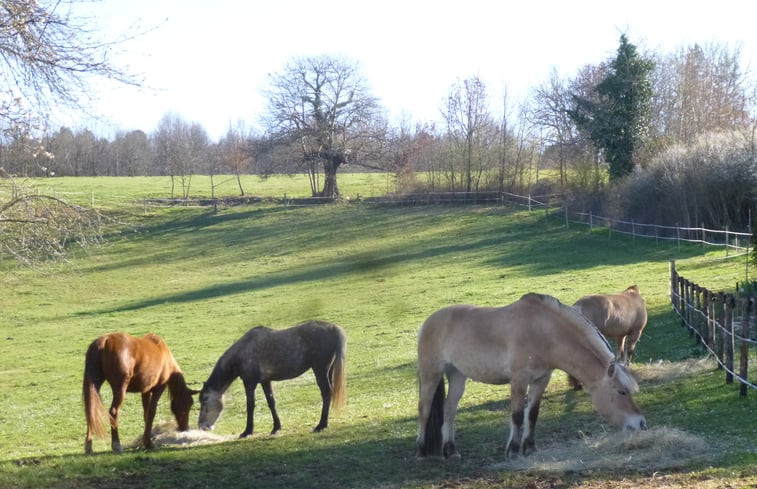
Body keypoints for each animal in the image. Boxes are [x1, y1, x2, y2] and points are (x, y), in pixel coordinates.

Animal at [196, 318, 346, 436]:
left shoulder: (249, 383)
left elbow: (250, 405)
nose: (202, 426)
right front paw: (276, 428)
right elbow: (271, 402)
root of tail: (334, 328)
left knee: (326, 393)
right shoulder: (265, 381)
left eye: (204, 401)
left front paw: (247, 431)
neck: (243, 351)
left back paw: (321, 425)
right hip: (328, 370)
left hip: (320, 370)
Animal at [414, 292, 644, 460]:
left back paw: (451, 451)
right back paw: (421, 451)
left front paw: (530, 448)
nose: (641, 423)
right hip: (431, 373)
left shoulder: (541, 380)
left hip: (457, 376)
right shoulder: (519, 380)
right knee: (424, 409)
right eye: (621, 392)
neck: (543, 332)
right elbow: (517, 415)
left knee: (449, 409)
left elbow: (532, 414)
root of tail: (427, 322)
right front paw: (513, 450)